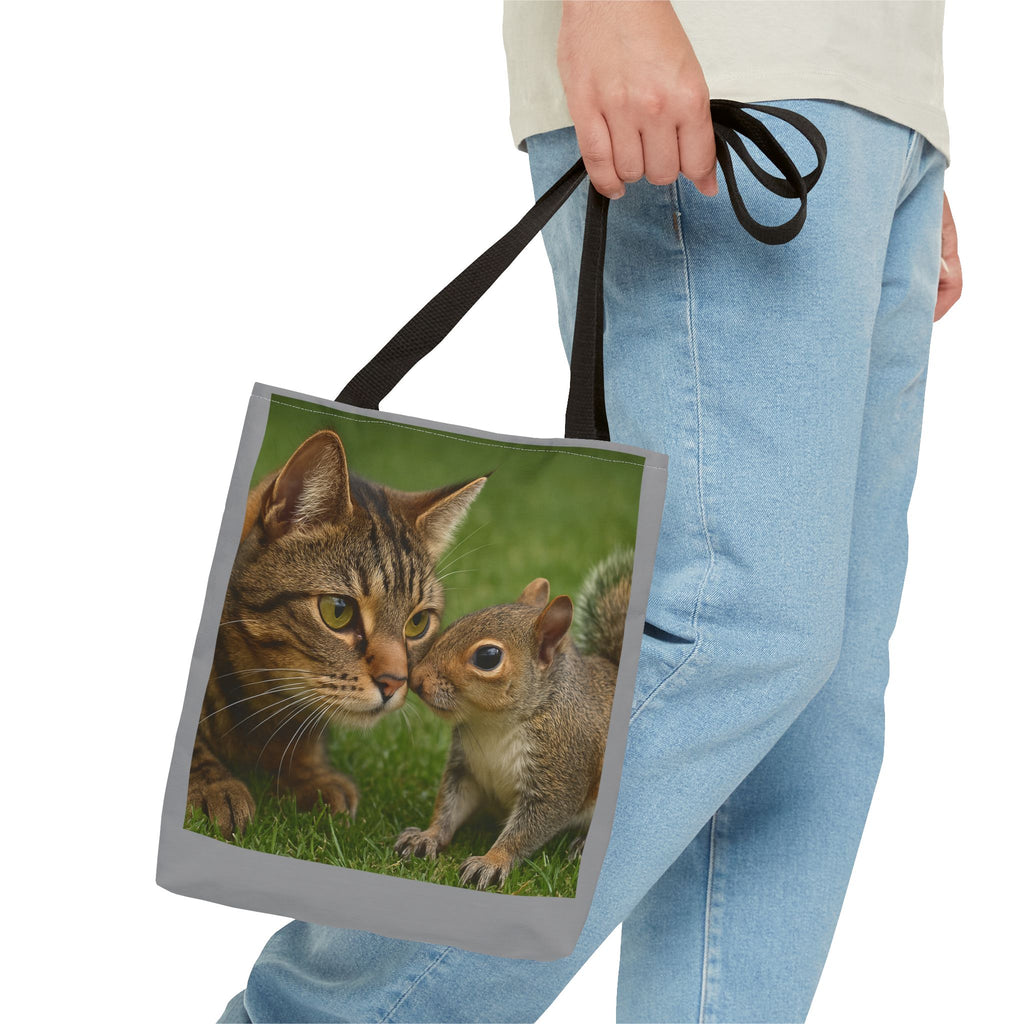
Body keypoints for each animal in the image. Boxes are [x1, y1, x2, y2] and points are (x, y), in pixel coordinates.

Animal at [395, 549, 633, 890]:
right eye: (455, 624)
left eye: (488, 657)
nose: (416, 680)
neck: (494, 723)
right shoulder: (466, 767)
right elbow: (449, 806)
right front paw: (426, 837)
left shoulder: (561, 772)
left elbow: (529, 828)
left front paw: (491, 862)